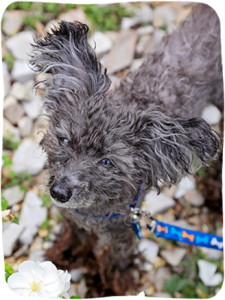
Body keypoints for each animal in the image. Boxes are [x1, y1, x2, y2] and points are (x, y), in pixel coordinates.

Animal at [29, 0, 221, 292]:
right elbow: (75, 234)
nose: (59, 193)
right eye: (63, 140)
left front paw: (106, 287)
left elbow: (115, 262)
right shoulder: (77, 218)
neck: (94, 212)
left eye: (106, 162)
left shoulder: (121, 235)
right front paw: (66, 253)